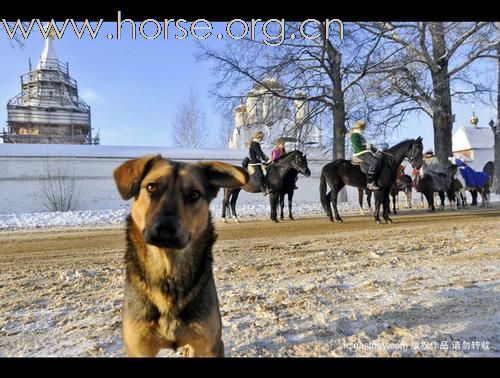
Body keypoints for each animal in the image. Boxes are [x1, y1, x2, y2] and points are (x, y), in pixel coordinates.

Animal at [112, 154, 248, 358]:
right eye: (151, 187)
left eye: (194, 194)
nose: (165, 228)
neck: (169, 274)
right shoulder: (139, 347)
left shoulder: (210, 344)